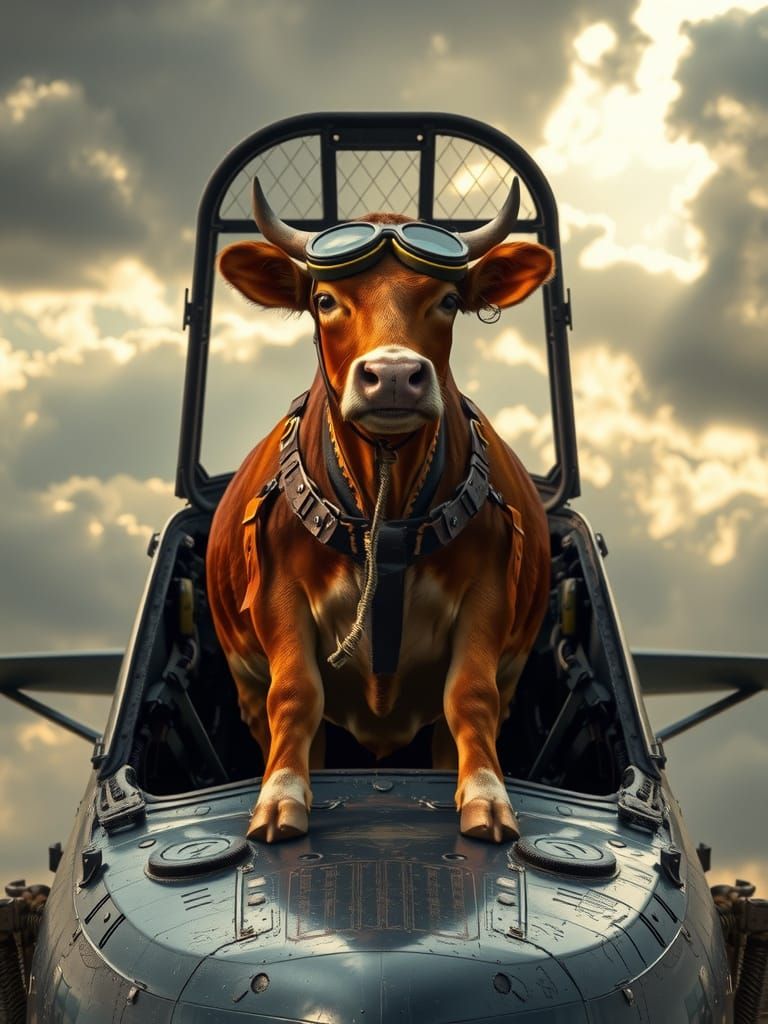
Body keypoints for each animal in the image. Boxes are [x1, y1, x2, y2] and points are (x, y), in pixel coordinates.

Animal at [206, 178, 553, 844]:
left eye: (449, 300)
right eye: (325, 300)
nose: (392, 376)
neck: (383, 497)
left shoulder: (489, 592)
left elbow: (470, 695)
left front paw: (487, 794)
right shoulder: (278, 594)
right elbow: (297, 694)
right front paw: (280, 796)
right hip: (243, 679)